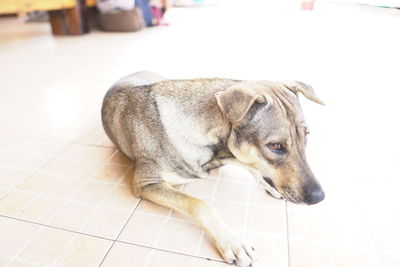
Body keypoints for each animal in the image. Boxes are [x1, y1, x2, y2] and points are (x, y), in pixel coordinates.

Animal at [101, 71, 324, 267]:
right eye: (275, 146)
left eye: (306, 136)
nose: (319, 197)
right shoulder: (146, 182)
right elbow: (199, 204)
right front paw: (233, 243)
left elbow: (250, 165)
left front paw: (267, 183)